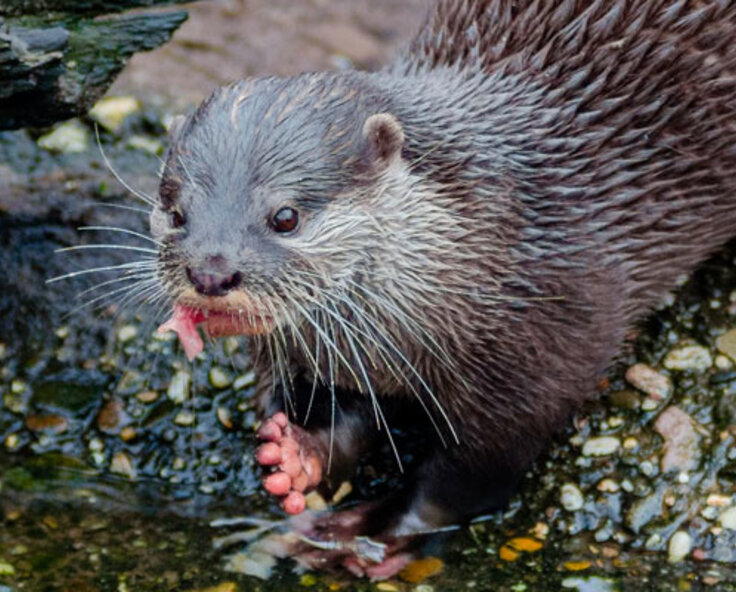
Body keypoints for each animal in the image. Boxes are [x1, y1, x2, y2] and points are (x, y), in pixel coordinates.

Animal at [152, 0, 736, 580]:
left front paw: (373, 533)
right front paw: (296, 456)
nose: (211, 273)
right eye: (176, 213)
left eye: (285, 216)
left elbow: (468, 476)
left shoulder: (549, 349)